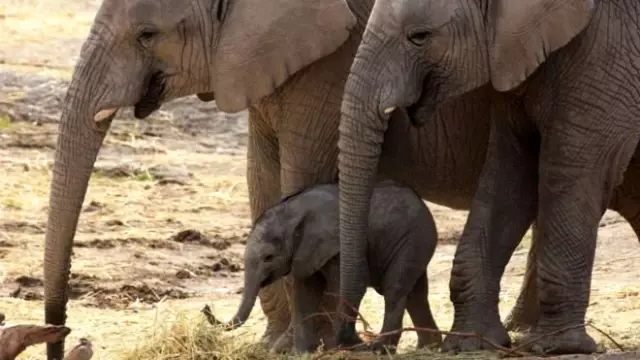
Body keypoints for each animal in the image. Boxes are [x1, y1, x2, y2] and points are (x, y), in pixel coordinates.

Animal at [204, 181, 440, 352]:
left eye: (269, 258)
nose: (206, 308)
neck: (293, 212)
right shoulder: (305, 251)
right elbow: (305, 290)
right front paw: (301, 353)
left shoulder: (336, 244)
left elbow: (341, 286)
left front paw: (339, 346)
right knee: (416, 294)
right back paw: (429, 347)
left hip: (413, 239)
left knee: (395, 290)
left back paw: (379, 349)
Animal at [336, 0, 640, 356]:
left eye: (420, 37)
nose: (356, 339)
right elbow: (509, 174)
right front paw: (471, 343)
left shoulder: (608, 51)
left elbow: (570, 169)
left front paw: (559, 347)